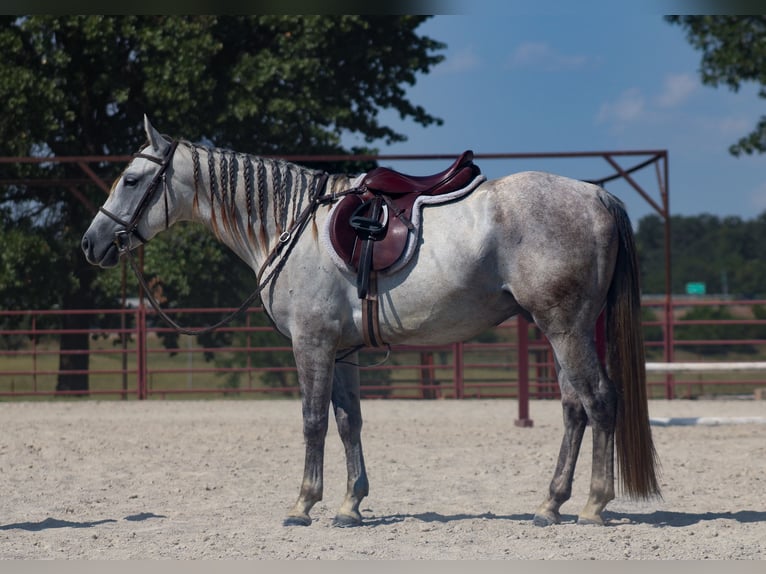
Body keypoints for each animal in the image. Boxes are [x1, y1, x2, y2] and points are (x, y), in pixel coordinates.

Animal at [81, 116, 660, 528]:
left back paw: (593, 505)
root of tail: (595, 194)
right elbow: (348, 421)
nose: (92, 243)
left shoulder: (312, 343)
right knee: (574, 409)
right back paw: (550, 504)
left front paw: (303, 503)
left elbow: (313, 421)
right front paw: (350, 504)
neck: (293, 225)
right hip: (561, 331)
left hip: (565, 328)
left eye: (131, 179)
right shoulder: (342, 350)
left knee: (599, 402)